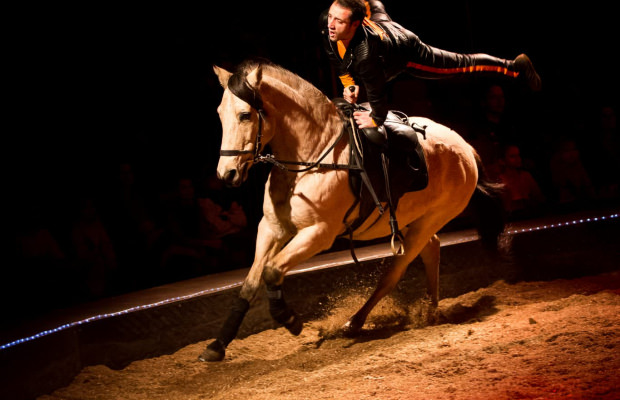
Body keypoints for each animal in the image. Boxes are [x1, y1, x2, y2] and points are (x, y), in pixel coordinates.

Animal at [199, 58, 504, 362]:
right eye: (220, 114)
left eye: (245, 115)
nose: (227, 174)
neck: (312, 156)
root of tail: (466, 149)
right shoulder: (272, 228)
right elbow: (250, 283)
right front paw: (217, 345)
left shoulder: (317, 234)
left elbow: (272, 271)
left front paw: (290, 319)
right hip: (412, 218)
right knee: (432, 250)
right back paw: (430, 310)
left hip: (429, 221)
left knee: (394, 273)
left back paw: (356, 322)